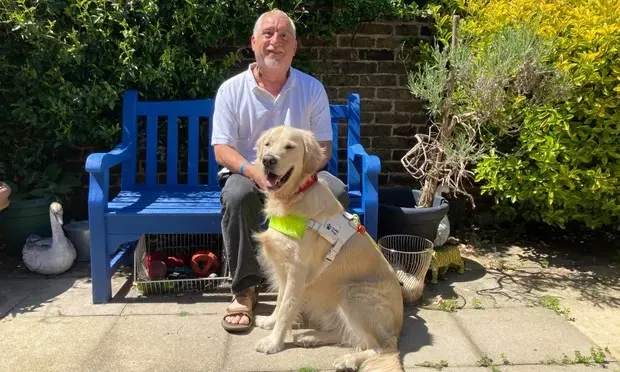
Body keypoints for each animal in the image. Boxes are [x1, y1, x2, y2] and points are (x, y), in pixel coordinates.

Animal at [252, 125, 406, 372]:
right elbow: (280, 301)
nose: (268, 160)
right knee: (345, 334)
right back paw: (311, 337)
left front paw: (273, 343)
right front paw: (269, 321)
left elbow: (286, 308)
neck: (295, 196)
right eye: (268, 144)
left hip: (353, 295)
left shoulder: (297, 272)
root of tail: (398, 330)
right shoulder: (284, 269)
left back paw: (348, 359)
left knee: (381, 347)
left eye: (289, 147)